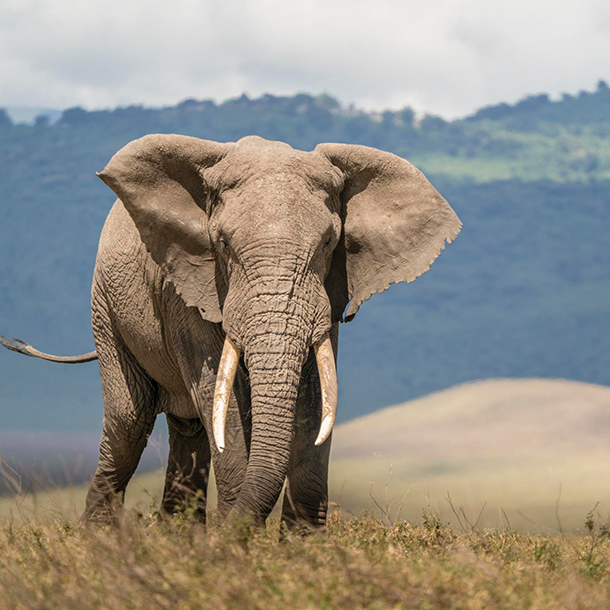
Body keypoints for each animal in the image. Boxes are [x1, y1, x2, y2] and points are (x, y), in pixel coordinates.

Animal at [0, 133, 458, 528]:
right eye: (221, 244)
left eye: (330, 244)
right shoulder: (187, 290)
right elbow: (224, 409)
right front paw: (230, 548)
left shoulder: (328, 296)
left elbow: (315, 401)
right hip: (105, 309)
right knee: (129, 422)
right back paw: (100, 540)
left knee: (188, 431)